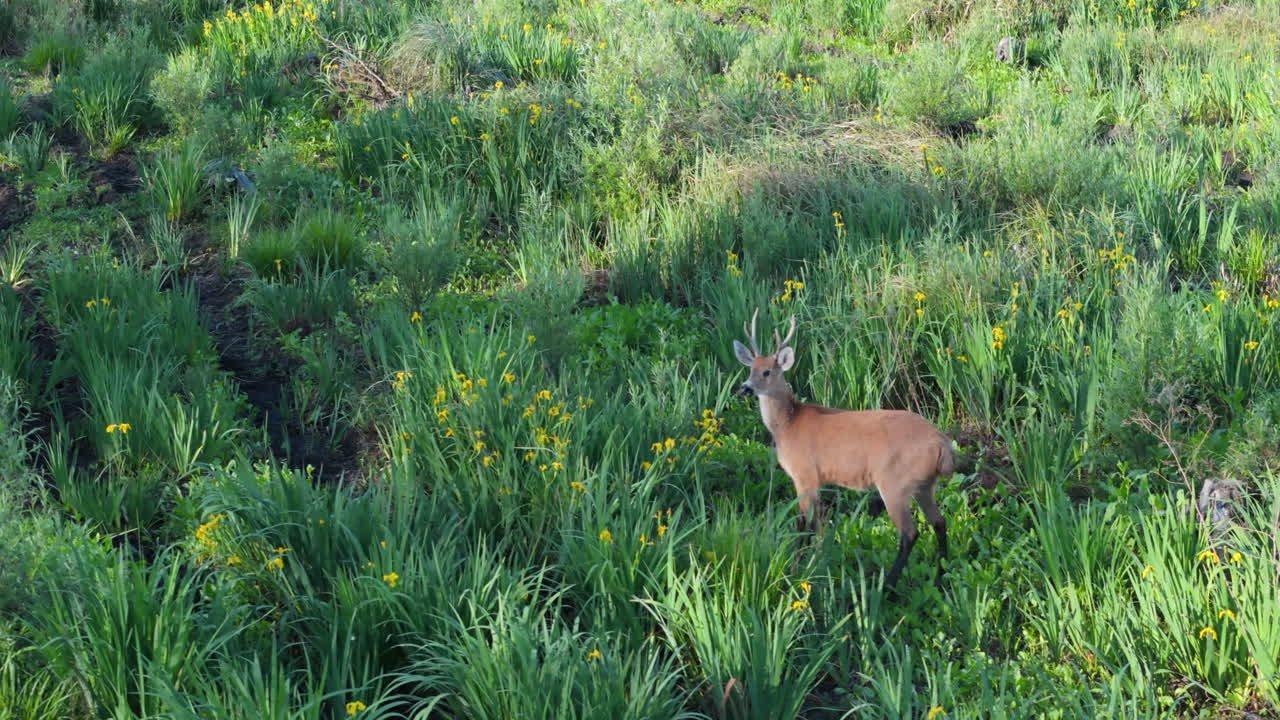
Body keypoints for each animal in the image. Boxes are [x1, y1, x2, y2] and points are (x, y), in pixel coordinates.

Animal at [733, 309, 955, 590]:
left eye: (768, 372)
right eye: (750, 368)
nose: (744, 388)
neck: (789, 424)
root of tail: (942, 443)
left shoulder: (805, 475)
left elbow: (804, 522)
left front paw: (797, 567)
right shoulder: (817, 480)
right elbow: (818, 524)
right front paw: (817, 560)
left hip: (895, 482)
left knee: (910, 532)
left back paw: (888, 586)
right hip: (925, 483)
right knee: (939, 521)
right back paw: (940, 576)